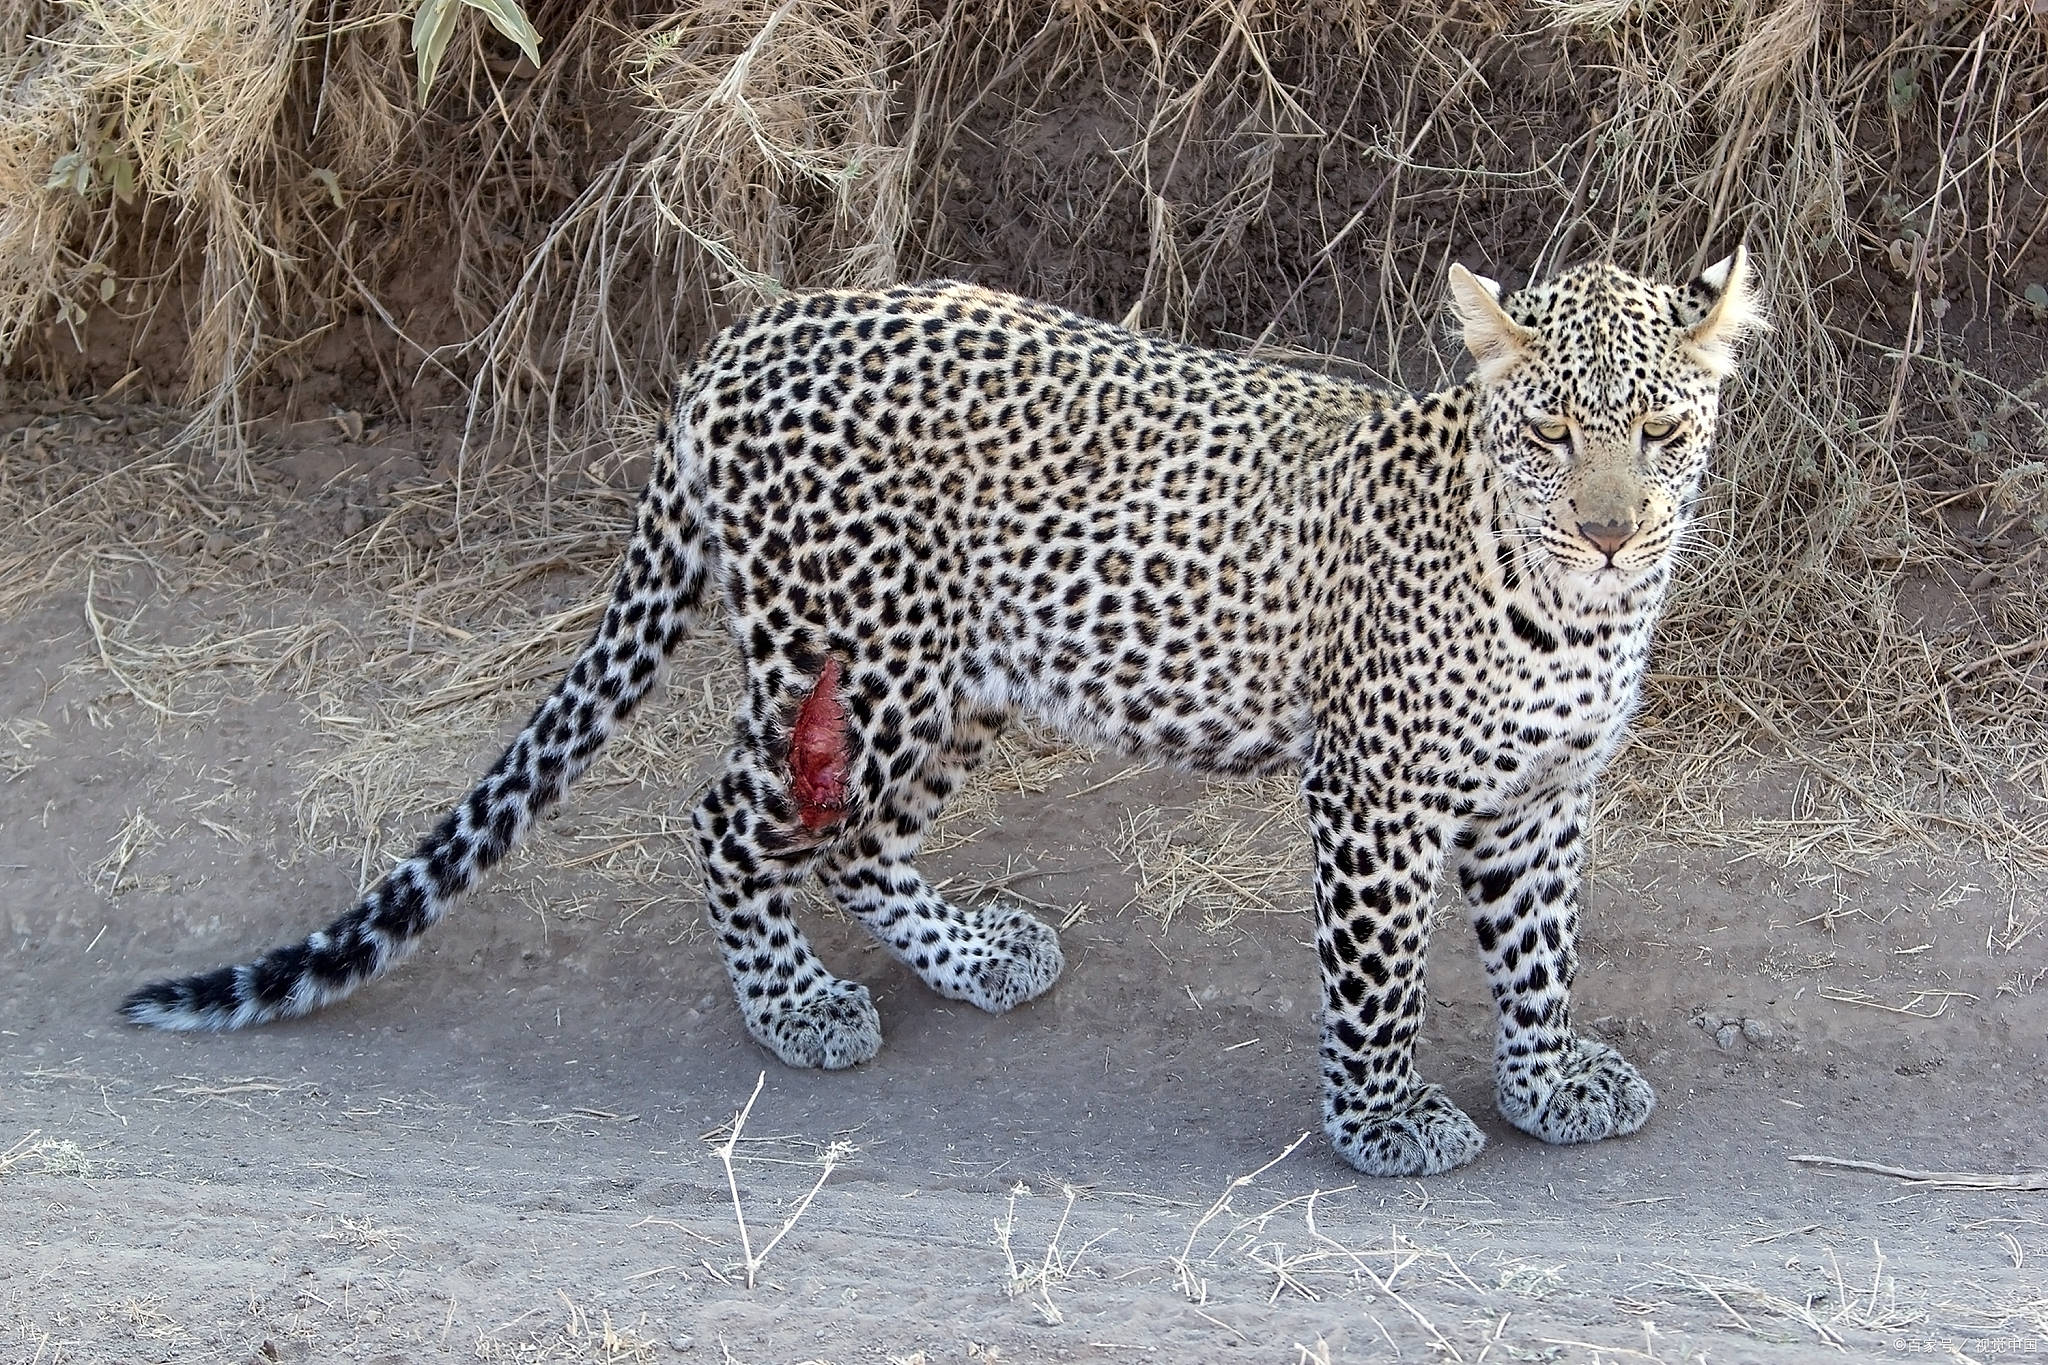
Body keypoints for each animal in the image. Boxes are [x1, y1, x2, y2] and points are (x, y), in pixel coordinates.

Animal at [119, 245, 1769, 1178]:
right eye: (1551, 432)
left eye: (1662, 433)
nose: (1613, 531)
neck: (1571, 612)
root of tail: (736, 344)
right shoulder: (1375, 796)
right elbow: (1379, 981)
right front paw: (1381, 1124)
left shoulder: (1544, 796)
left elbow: (1539, 953)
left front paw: (1548, 1081)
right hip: (866, 656)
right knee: (727, 819)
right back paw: (795, 1008)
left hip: (956, 679)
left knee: (849, 839)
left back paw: (970, 956)